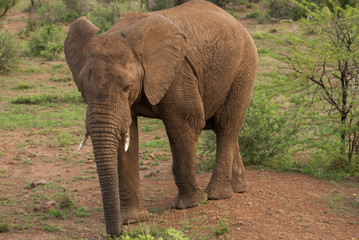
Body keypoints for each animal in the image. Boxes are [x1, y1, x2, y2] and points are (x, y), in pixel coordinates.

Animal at [64, 0, 258, 236]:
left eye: (127, 86)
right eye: (82, 90)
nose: (115, 233)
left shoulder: (178, 72)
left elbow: (187, 124)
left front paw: (191, 204)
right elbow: (125, 138)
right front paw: (133, 220)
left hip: (244, 67)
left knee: (226, 125)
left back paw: (217, 195)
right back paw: (238, 189)